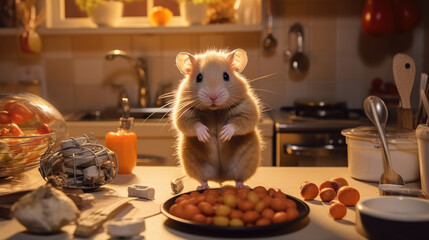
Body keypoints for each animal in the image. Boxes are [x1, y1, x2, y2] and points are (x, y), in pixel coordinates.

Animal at [172, 48, 262, 189]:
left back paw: (243, 186)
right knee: (203, 179)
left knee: (239, 179)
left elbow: (241, 122)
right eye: (198, 77)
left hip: (246, 162)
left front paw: (223, 134)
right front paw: (205, 135)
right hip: (194, 163)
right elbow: (191, 124)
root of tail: (221, 178)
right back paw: (203, 187)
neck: (214, 110)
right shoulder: (183, 111)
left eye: (226, 76)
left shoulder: (248, 108)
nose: (213, 97)